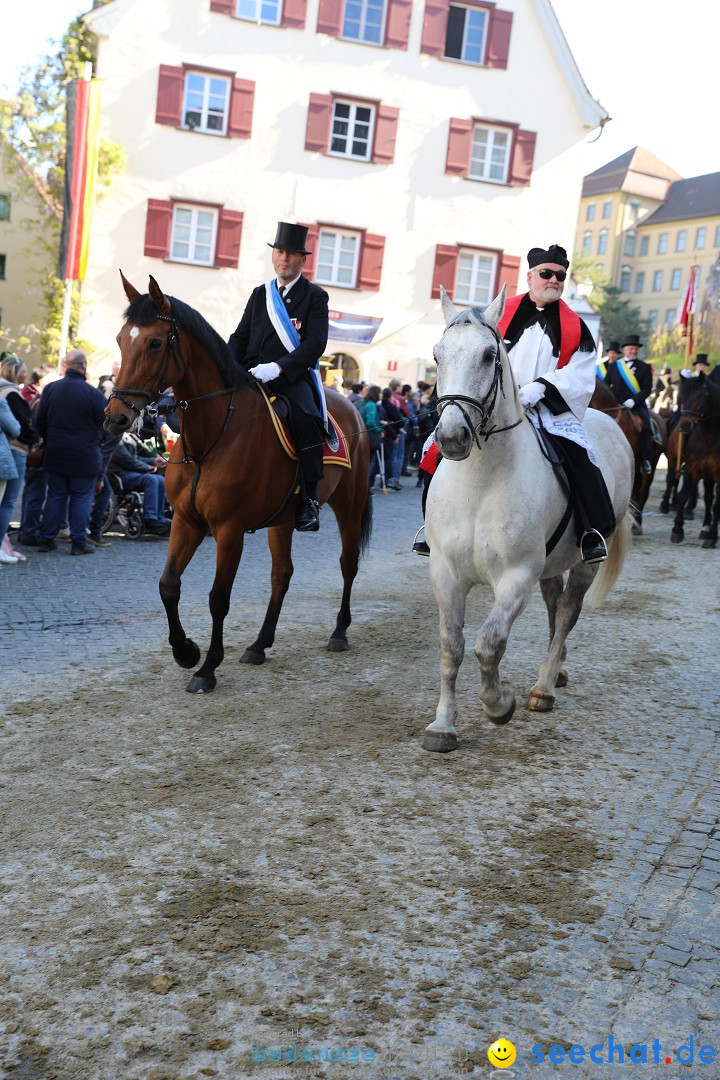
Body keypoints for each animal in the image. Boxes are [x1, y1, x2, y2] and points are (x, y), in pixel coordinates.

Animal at [104, 274, 375, 695]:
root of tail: (349, 405)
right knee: (282, 574)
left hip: (350, 503)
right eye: (120, 339)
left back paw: (339, 632)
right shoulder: (185, 521)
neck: (210, 438)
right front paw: (186, 651)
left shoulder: (229, 529)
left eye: (154, 342)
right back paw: (260, 644)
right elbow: (168, 585)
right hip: (283, 518)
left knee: (348, 563)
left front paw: (207, 668)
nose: (115, 417)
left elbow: (218, 598)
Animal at [425, 291, 634, 756]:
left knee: (568, 612)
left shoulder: (515, 576)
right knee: (556, 607)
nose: (451, 437)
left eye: (489, 355)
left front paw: (498, 704)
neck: (481, 481)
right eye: (437, 354)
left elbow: (488, 644)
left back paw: (544, 686)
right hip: (552, 564)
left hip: (586, 561)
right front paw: (443, 726)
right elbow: (450, 647)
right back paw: (557, 670)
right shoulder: (446, 574)